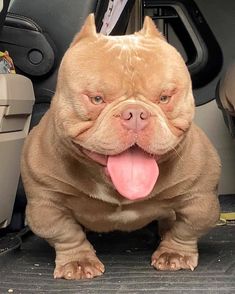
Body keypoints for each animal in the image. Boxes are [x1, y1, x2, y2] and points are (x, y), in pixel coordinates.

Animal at [21, 14, 221, 280]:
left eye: (164, 97)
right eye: (96, 99)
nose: (135, 113)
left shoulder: (200, 197)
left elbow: (188, 228)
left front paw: (174, 253)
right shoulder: (46, 202)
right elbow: (65, 232)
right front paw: (78, 261)